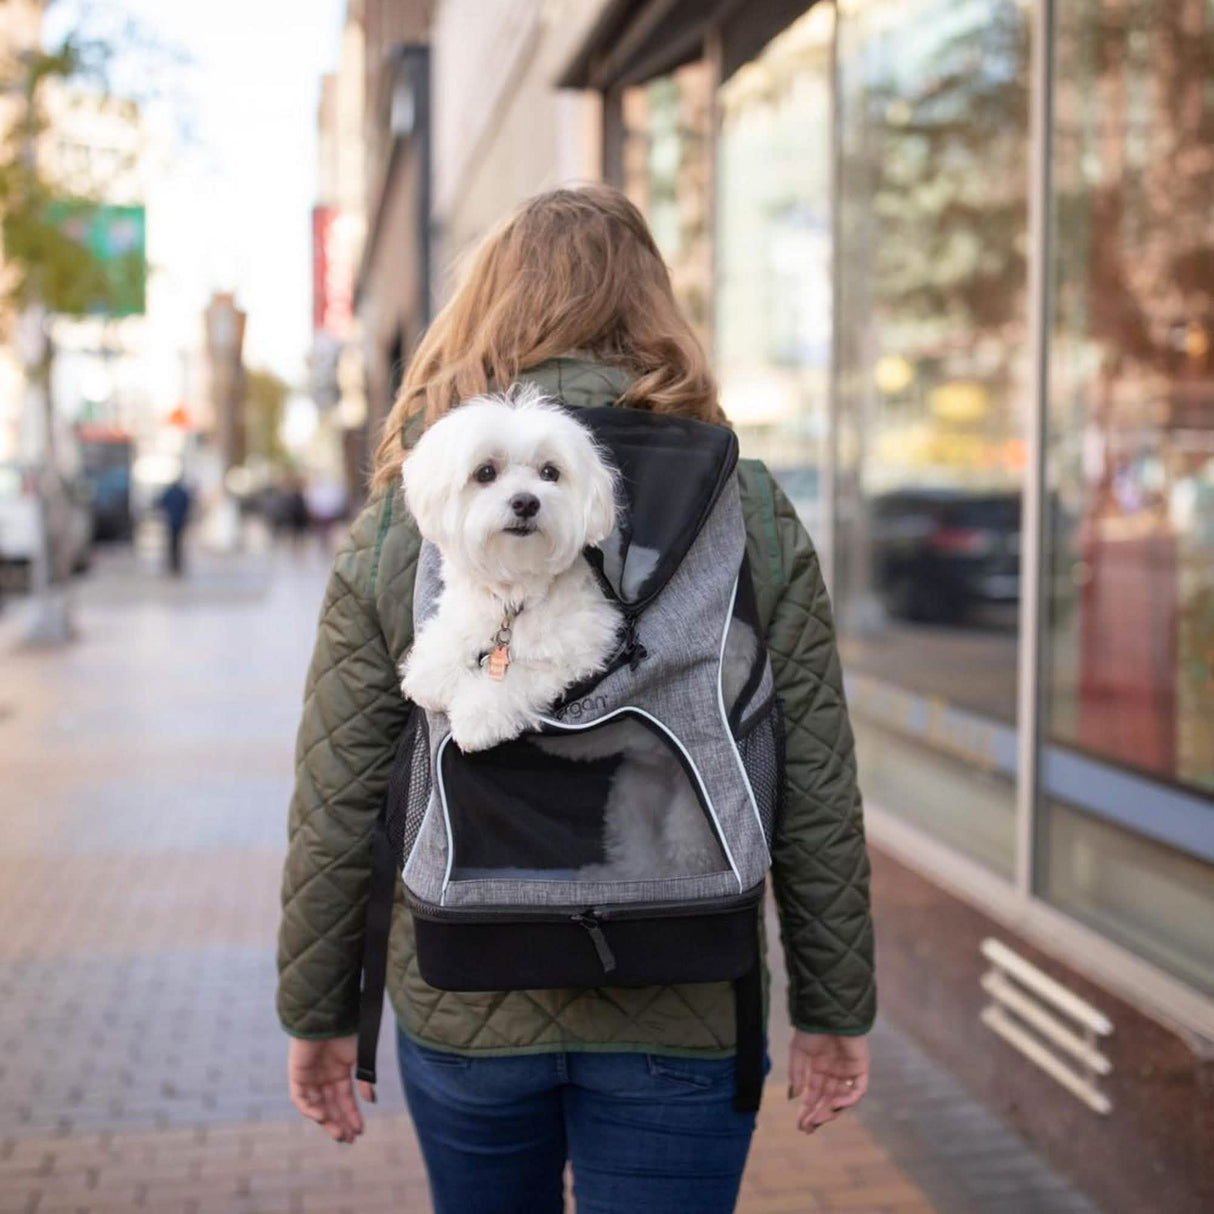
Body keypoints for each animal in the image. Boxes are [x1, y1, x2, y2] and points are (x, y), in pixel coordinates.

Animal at [403, 386, 621, 747]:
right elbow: (455, 630)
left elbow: (516, 677)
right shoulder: (470, 605)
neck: (512, 591)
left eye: (550, 473)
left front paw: (477, 714)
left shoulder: (580, 650)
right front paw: (432, 671)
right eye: (485, 473)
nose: (526, 502)